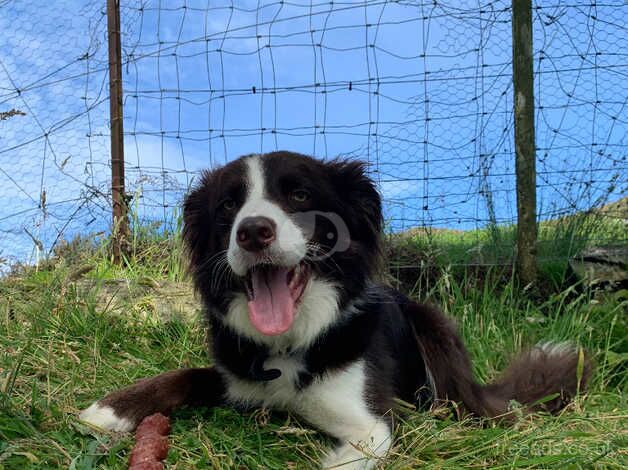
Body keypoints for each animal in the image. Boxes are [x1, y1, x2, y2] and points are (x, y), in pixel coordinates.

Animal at [79, 152, 588, 468]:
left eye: (300, 196)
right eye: (227, 204)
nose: (253, 231)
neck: (288, 345)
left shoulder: (372, 426)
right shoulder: (238, 374)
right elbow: (183, 374)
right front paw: (111, 409)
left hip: (433, 327)